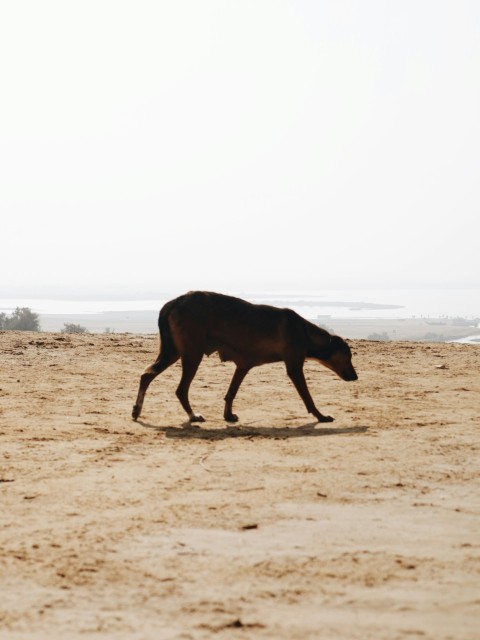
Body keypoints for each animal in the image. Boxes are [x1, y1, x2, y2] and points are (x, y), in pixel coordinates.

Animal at [131, 294, 356, 424]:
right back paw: (192, 416)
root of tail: (174, 302)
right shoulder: (294, 367)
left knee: (146, 375)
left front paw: (228, 415)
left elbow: (230, 393)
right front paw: (321, 416)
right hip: (192, 355)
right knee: (180, 389)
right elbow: (308, 398)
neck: (305, 332)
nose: (355, 377)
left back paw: (136, 410)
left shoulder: (243, 366)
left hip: (173, 353)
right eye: (348, 355)